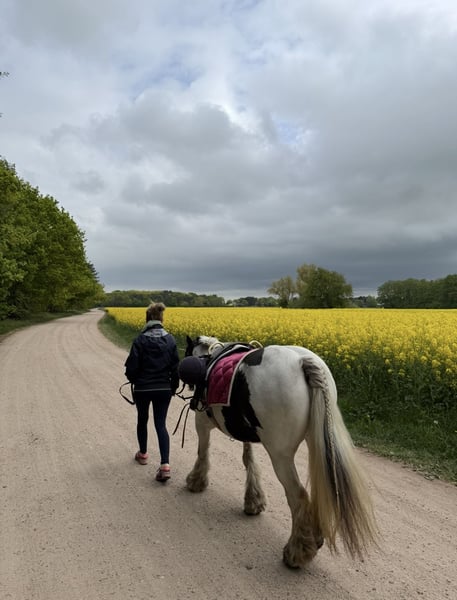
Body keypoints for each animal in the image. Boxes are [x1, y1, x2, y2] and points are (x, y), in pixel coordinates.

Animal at [181, 335, 377, 569]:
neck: (209, 358)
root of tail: (303, 362)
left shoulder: (201, 422)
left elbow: (203, 451)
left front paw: (196, 481)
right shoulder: (246, 430)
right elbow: (248, 459)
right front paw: (253, 500)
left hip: (280, 456)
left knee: (298, 496)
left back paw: (297, 552)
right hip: (315, 440)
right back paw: (313, 537)